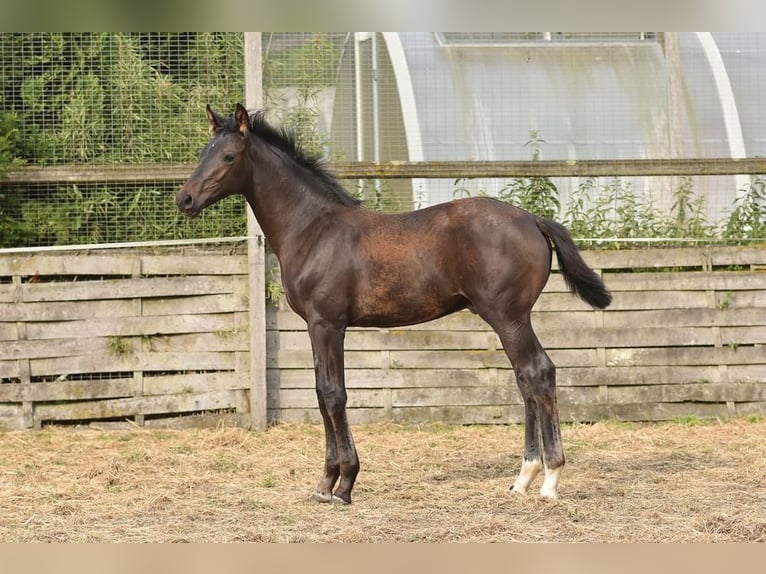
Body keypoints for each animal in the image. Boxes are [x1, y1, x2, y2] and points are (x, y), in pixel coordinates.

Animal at [176, 103, 611, 504]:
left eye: (228, 156)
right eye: (203, 151)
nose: (185, 198)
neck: (314, 230)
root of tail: (532, 220)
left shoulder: (328, 323)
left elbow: (334, 393)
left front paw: (343, 484)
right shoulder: (314, 326)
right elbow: (320, 393)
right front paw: (325, 484)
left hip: (510, 317)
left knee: (538, 374)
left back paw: (550, 481)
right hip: (511, 320)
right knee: (525, 380)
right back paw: (523, 478)